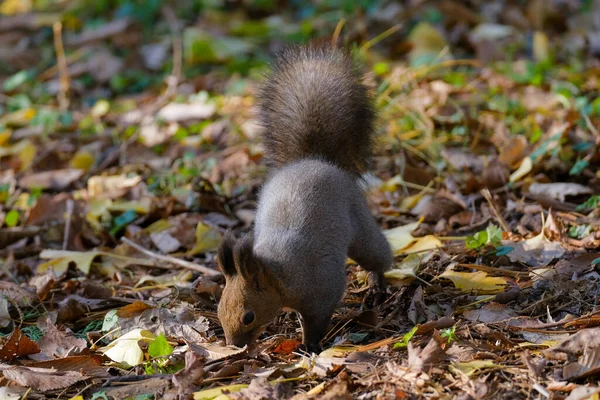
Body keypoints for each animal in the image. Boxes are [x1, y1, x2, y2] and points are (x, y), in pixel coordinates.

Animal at [216, 42, 394, 352]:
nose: (234, 346)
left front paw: (308, 345)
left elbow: (317, 320)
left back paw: (376, 284)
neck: (280, 273)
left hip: (359, 225)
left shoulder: (322, 289)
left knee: (377, 255)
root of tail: (314, 160)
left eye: (249, 316)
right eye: (219, 310)